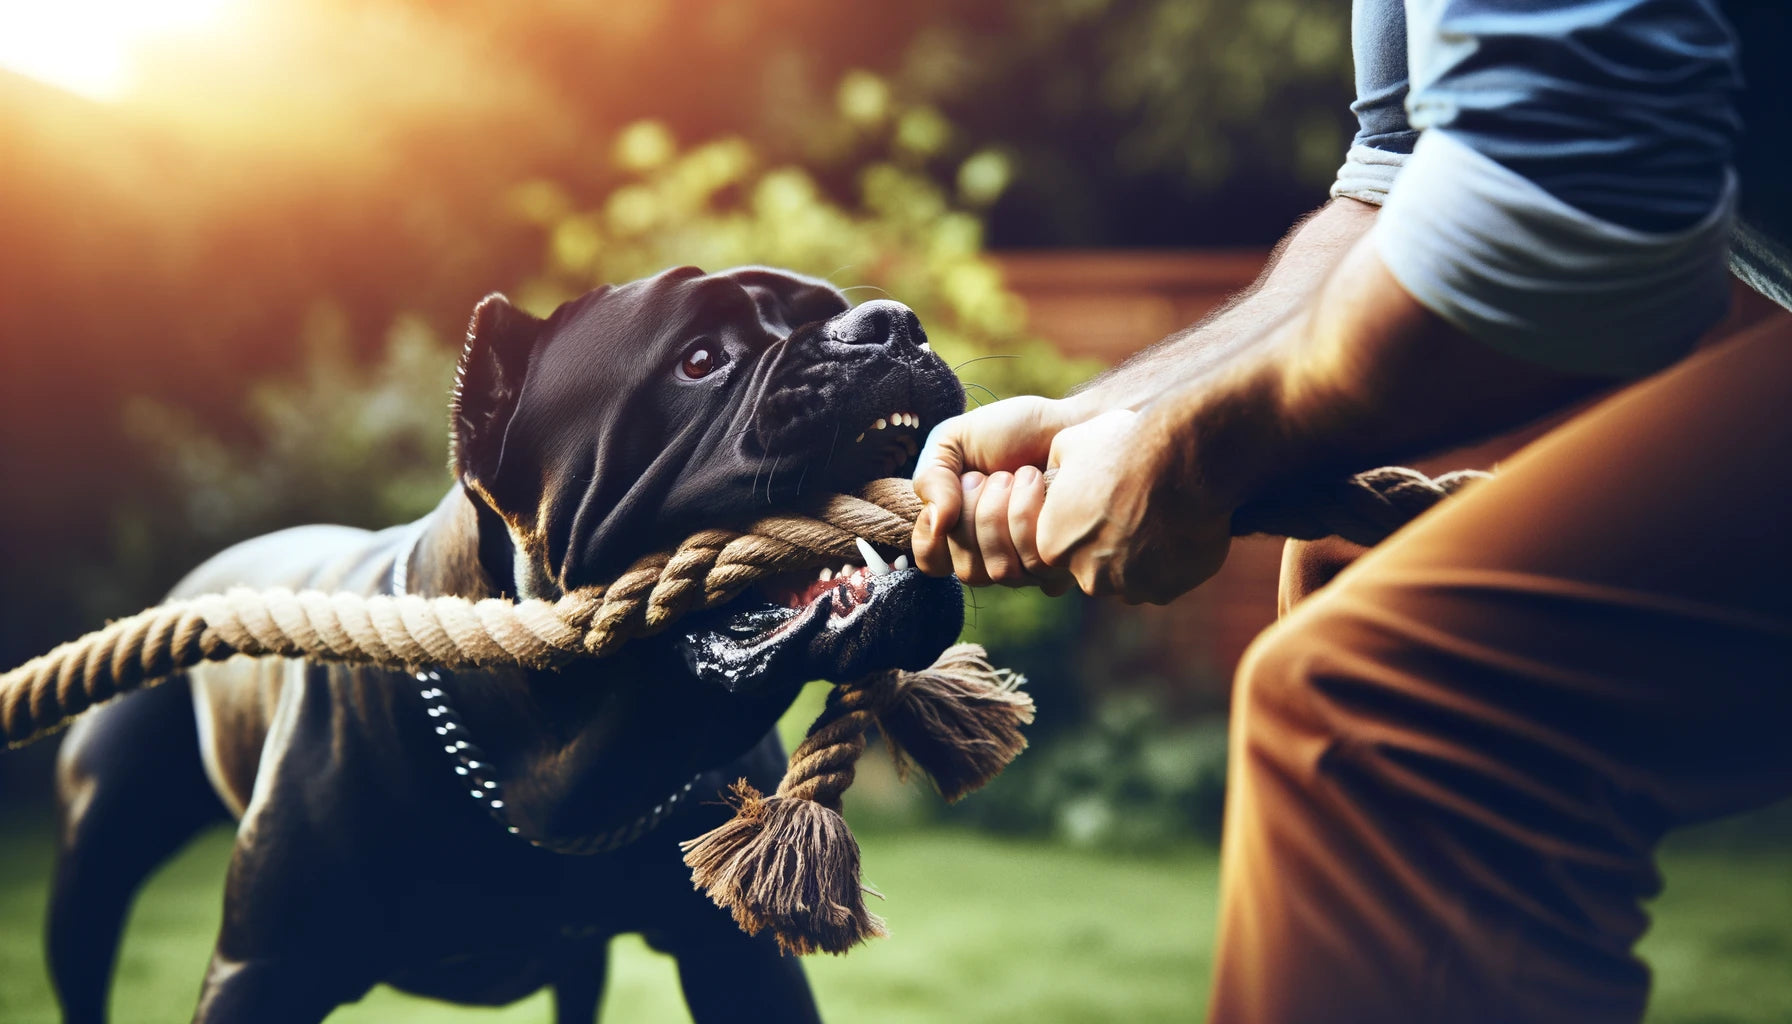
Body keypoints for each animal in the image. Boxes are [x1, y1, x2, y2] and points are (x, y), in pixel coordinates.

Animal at [49, 267, 967, 1024]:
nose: (890, 322)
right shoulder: (260, 972)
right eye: (701, 359)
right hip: (93, 868)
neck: (558, 762)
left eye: (835, 305)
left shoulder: (736, 962)